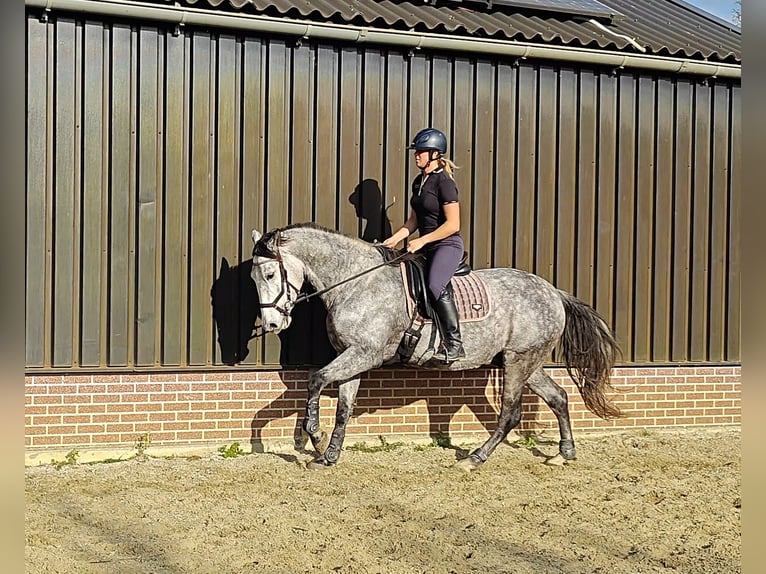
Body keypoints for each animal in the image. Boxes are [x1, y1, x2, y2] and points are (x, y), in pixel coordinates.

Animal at [250, 222, 623, 471]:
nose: (271, 325)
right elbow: (343, 406)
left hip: (518, 362)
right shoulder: (352, 355)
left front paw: (311, 436)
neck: (356, 282)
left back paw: (474, 459)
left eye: (269, 275)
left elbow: (315, 379)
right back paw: (564, 452)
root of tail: (553, 292)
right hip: (527, 362)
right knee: (558, 397)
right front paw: (328, 455)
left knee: (510, 413)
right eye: (254, 278)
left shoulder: (365, 354)